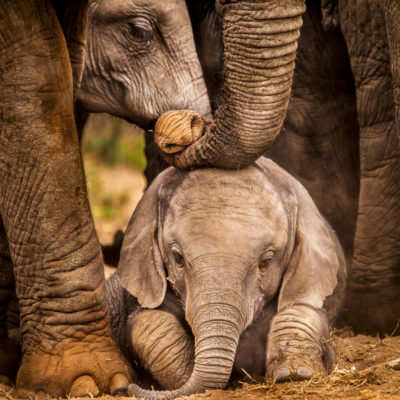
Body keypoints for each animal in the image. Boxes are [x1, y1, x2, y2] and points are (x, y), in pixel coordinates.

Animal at [107, 157, 346, 400]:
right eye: (178, 257)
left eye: (266, 261)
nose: (128, 389)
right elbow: (150, 321)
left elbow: (301, 310)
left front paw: (293, 374)